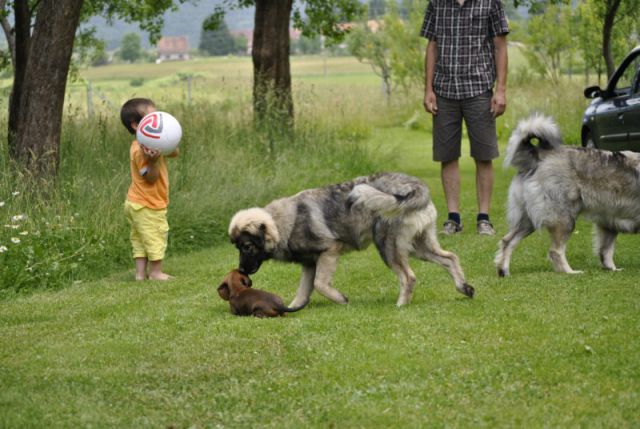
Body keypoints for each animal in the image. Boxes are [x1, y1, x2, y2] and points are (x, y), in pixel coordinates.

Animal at [228, 171, 472, 308]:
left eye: (247, 246)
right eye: (237, 247)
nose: (241, 270)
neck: (283, 222)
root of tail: (415, 186)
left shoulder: (328, 251)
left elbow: (320, 284)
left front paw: (341, 300)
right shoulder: (309, 264)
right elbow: (303, 292)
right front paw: (292, 307)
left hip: (388, 248)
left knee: (408, 277)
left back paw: (401, 305)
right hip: (419, 247)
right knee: (450, 258)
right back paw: (464, 287)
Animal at [496, 113, 640, 274]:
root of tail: (539, 156)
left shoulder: (608, 222)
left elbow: (605, 251)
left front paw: (612, 269)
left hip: (528, 220)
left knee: (507, 241)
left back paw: (503, 271)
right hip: (564, 219)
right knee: (555, 251)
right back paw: (570, 272)